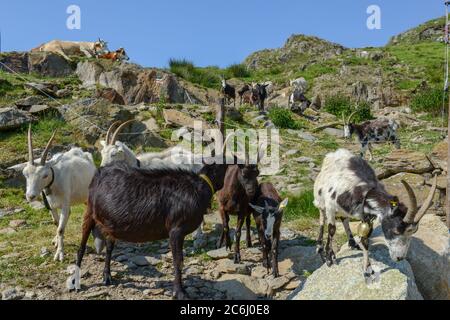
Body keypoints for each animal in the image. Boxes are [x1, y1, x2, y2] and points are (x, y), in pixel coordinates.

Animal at [22, 124, 97, 262]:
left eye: (45, 175)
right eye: (25, 173)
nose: (30, 196)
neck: (55, 178)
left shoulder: (64, 205)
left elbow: (60, 229)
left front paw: (59, 255)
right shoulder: (52, 206)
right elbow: (56, 224)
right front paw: (57, 242)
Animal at [314, 149, 438, 282]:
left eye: (413, 232)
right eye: (396, 230)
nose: (399, 258)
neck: (363, 191)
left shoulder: (367, 217)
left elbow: (365, 239)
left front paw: (368, 269)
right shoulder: (330, 207)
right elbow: (332, 230)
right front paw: (329, 258)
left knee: (344, 219)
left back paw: (352, 243)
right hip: (320, 199)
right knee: (322, 217)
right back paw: (320, 247)